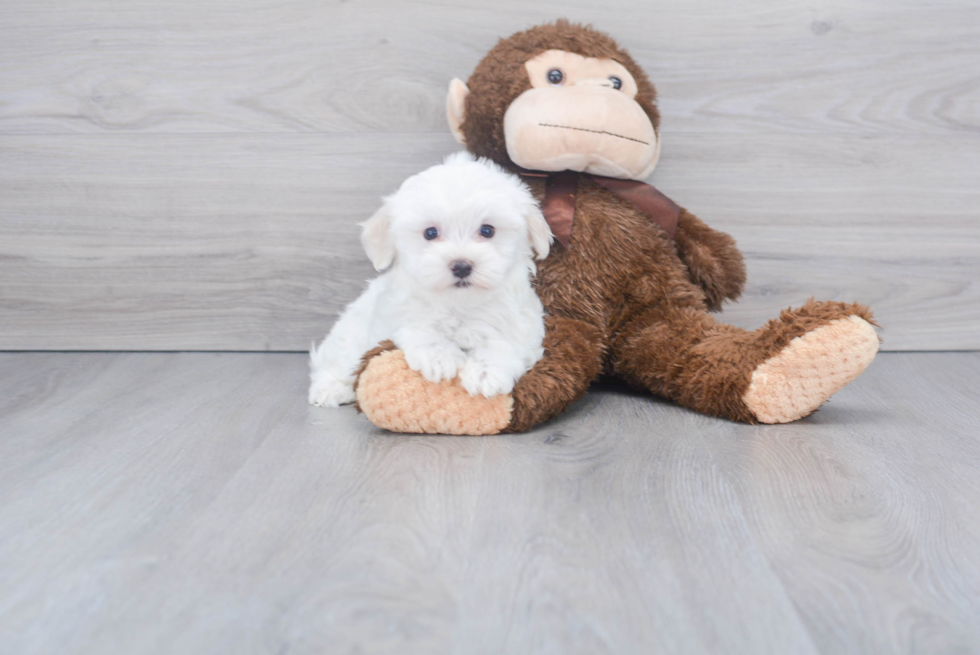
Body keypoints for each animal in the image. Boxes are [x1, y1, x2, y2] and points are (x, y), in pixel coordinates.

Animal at [308, 154, 552, 410]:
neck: (460, 304)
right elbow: (420, 327)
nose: (461, 266)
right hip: (352, 332)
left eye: (487, 230)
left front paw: (486, 372)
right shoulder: (398, 314)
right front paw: (440, 357)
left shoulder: (523, 324)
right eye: (430, 233)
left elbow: (505, 342)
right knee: (340, 359)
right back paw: (331, 388)